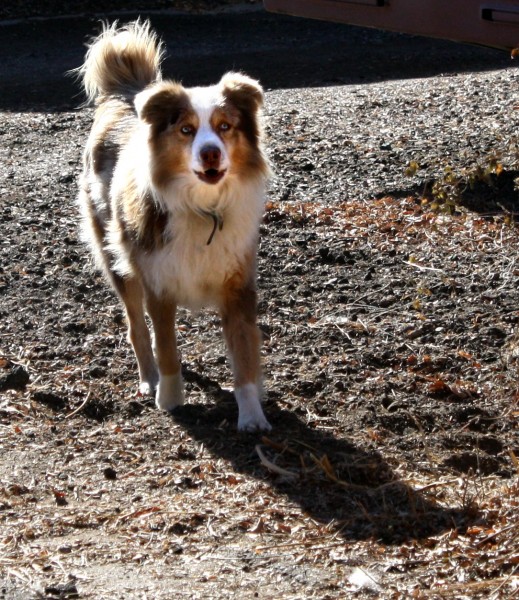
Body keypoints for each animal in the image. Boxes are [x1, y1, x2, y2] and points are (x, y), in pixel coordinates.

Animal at [78, 19, 272, 432]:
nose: (210, 153)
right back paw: (148, 379)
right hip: (118, 260)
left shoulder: (238, 282)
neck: (203, 207)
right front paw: (169, 399)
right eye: (186, 130)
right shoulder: (159, 283)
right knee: (136, 327)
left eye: (225, 126)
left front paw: (252, 415)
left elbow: (245, 352)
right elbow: (165, 345)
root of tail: (126, 91)